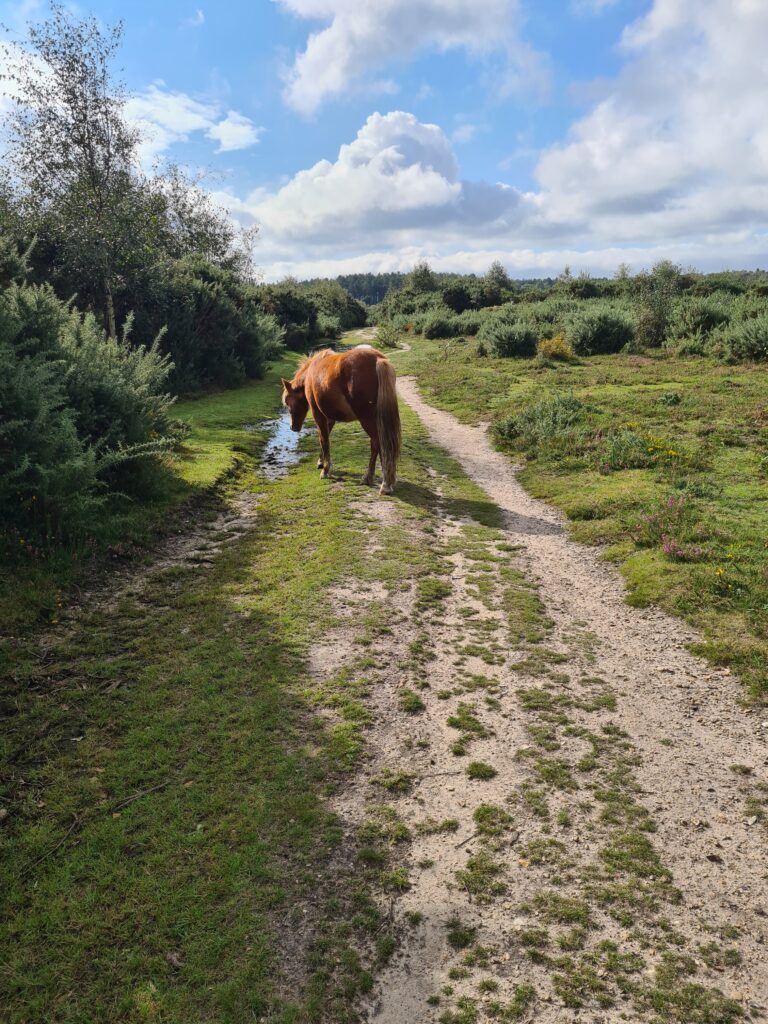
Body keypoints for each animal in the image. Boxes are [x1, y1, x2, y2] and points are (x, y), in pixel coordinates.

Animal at [282, 346, 403, 493]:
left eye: (288, 402)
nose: (292, 427)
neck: (311, 372)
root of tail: (377, 359)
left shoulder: (318, 414)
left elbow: (324, 440)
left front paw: (326, 470)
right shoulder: (330, 418)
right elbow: (325, 437)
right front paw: (321, 462)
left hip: (366, 419)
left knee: (378, 443)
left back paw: (384, 483)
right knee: (376, 444)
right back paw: (370, 478)